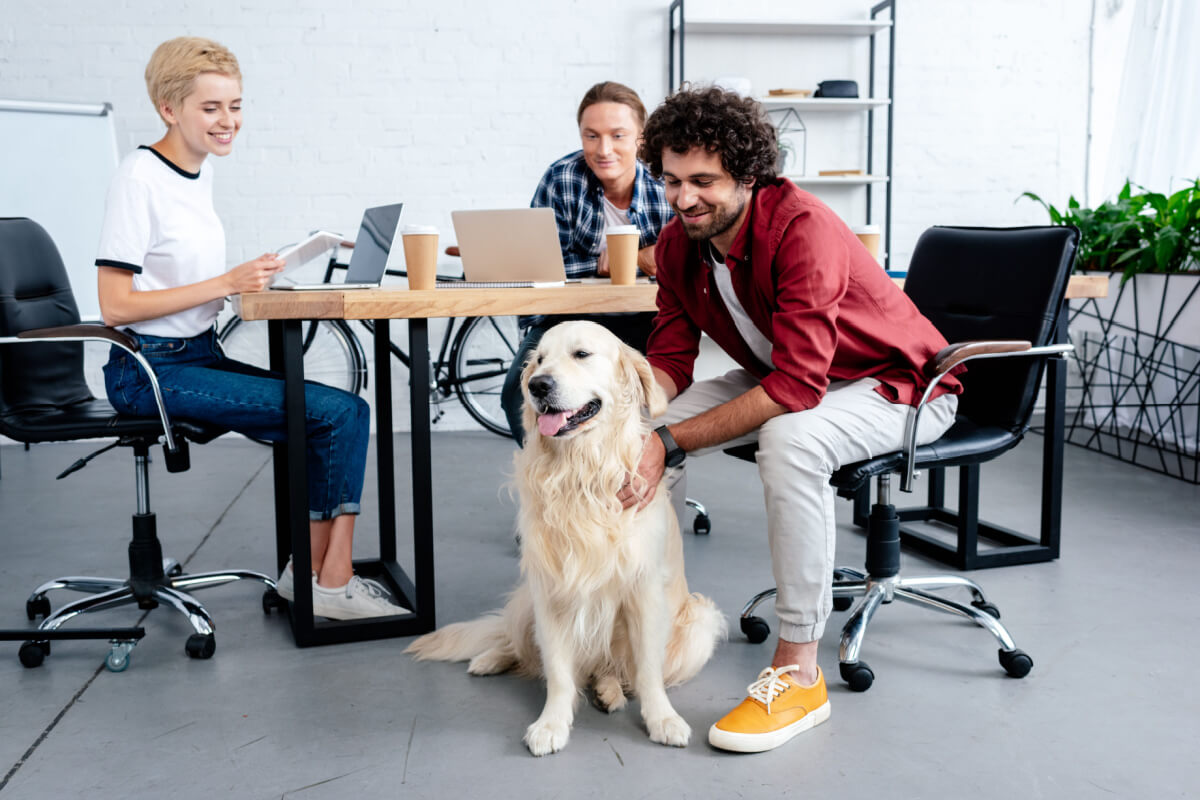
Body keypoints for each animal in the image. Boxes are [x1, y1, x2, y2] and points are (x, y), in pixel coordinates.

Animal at [405, 321, 720, 758]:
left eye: (581, 354)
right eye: (538, 359)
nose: (538, 385)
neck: (580, 472)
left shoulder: (644, 591)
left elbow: (647, 670)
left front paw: (663, 719)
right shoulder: (551, 590)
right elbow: (556, 669)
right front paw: (551, 723)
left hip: (700, 624)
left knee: (615, 670)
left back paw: (610, 690)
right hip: (526, 601)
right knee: (515, 642)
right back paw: (490, 659)